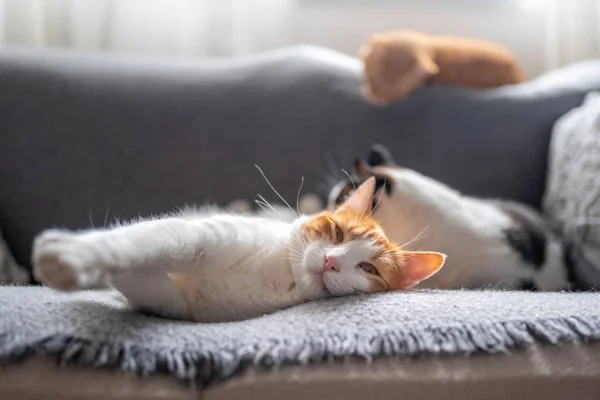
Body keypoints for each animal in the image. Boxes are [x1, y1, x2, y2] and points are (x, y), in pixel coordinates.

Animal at [32, 177, 446, 322]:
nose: (331, 261)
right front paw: (75, 254)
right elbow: (140, 240)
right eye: (338, 233)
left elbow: (144, 275)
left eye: (369, 269)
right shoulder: (195, 237)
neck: (277, 274)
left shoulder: (177, 306)